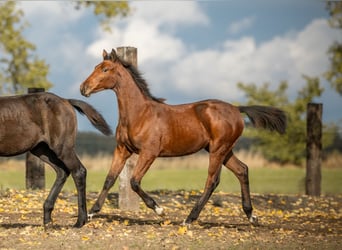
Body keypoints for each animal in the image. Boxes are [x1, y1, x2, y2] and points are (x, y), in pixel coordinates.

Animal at [0, 91, 112, 228]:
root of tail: (66, 101)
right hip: (42, 150)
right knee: (62, 171)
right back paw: (48, 219)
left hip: (62, 148)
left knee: (78, 171)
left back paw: (80, 221)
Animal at [80, 48, 286, 225]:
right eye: (95, 67)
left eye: (105, 69)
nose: (83, 87)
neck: (139, 114)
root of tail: (237, 109)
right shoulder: (123, 149)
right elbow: (110, 179)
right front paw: (91, 213)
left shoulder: (149, 152)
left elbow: (134, 181)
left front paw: (160, 210)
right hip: (223, 150)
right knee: (242, 170)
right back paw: (251, 216)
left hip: (218, 149)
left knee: (212, 180)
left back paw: (189, 218)